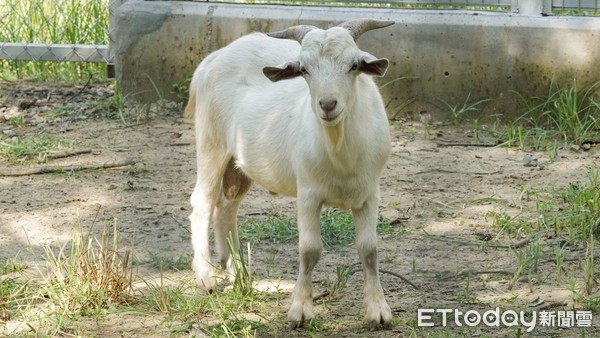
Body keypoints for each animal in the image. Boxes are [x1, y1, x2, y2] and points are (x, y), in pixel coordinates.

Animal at [185, 17, 396, 328]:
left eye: (354, 65)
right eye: (304, 69)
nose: (327, 105)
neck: (340, 153)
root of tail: (211, 60)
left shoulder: (370, 193)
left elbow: (369, 250)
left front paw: (379, 312)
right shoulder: (307, 193)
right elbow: (310, 250)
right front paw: (300, 311)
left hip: (241, 162)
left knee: (226, 207)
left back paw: (239, 275)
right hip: (211, 141)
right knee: (202, 203)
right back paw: (206, 277)